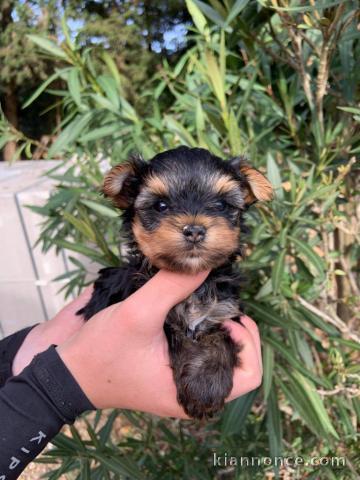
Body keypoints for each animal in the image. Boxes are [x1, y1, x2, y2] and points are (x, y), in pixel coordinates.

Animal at [78, 147, 270, 420]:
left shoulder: (223, 311)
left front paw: (205, 384)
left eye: (222, 205)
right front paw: (203, 389)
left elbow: (216, 336)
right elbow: (177, 333)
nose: (195, 230)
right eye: (161, 205)